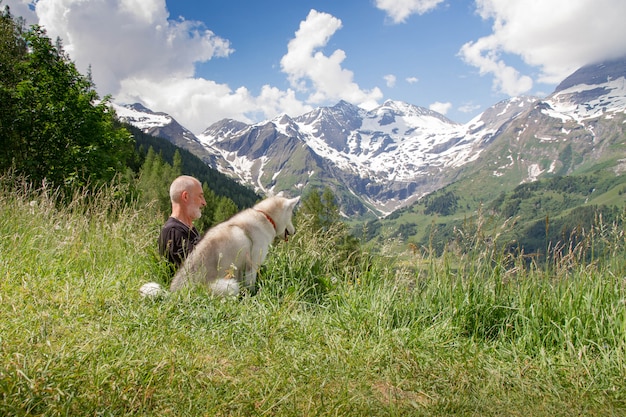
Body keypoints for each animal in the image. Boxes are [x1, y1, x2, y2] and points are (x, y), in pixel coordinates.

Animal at [141, 193, 298, 298]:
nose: (295, 231)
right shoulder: (252, 265)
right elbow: (251, 285)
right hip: (229, 285)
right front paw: (252, 296)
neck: (265, 216)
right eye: (291, 216)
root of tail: (175, 293)